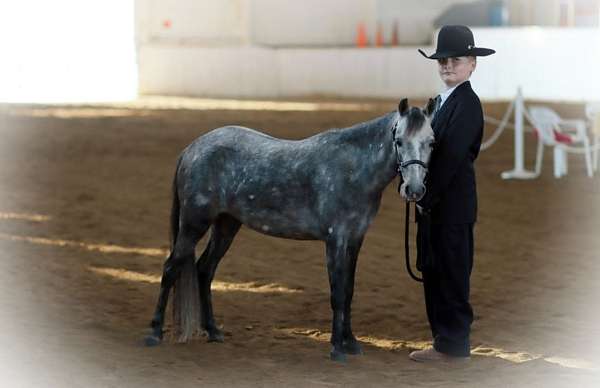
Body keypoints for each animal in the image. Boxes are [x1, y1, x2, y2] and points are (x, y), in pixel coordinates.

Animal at [145, 98, 436, 362]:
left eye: (431, 142)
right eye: (399, 141)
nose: (414, 190)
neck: (353, 170)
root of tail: (192, 148)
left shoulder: (355, 240)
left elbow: (349, 291)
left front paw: (351, 343)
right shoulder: (336, 239)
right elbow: (337, 293)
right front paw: (336, 348)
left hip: (226, 224)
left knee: (204, 270)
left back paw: (214, 331)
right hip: (194, 223)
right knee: (171, 268)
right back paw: (154, 334)